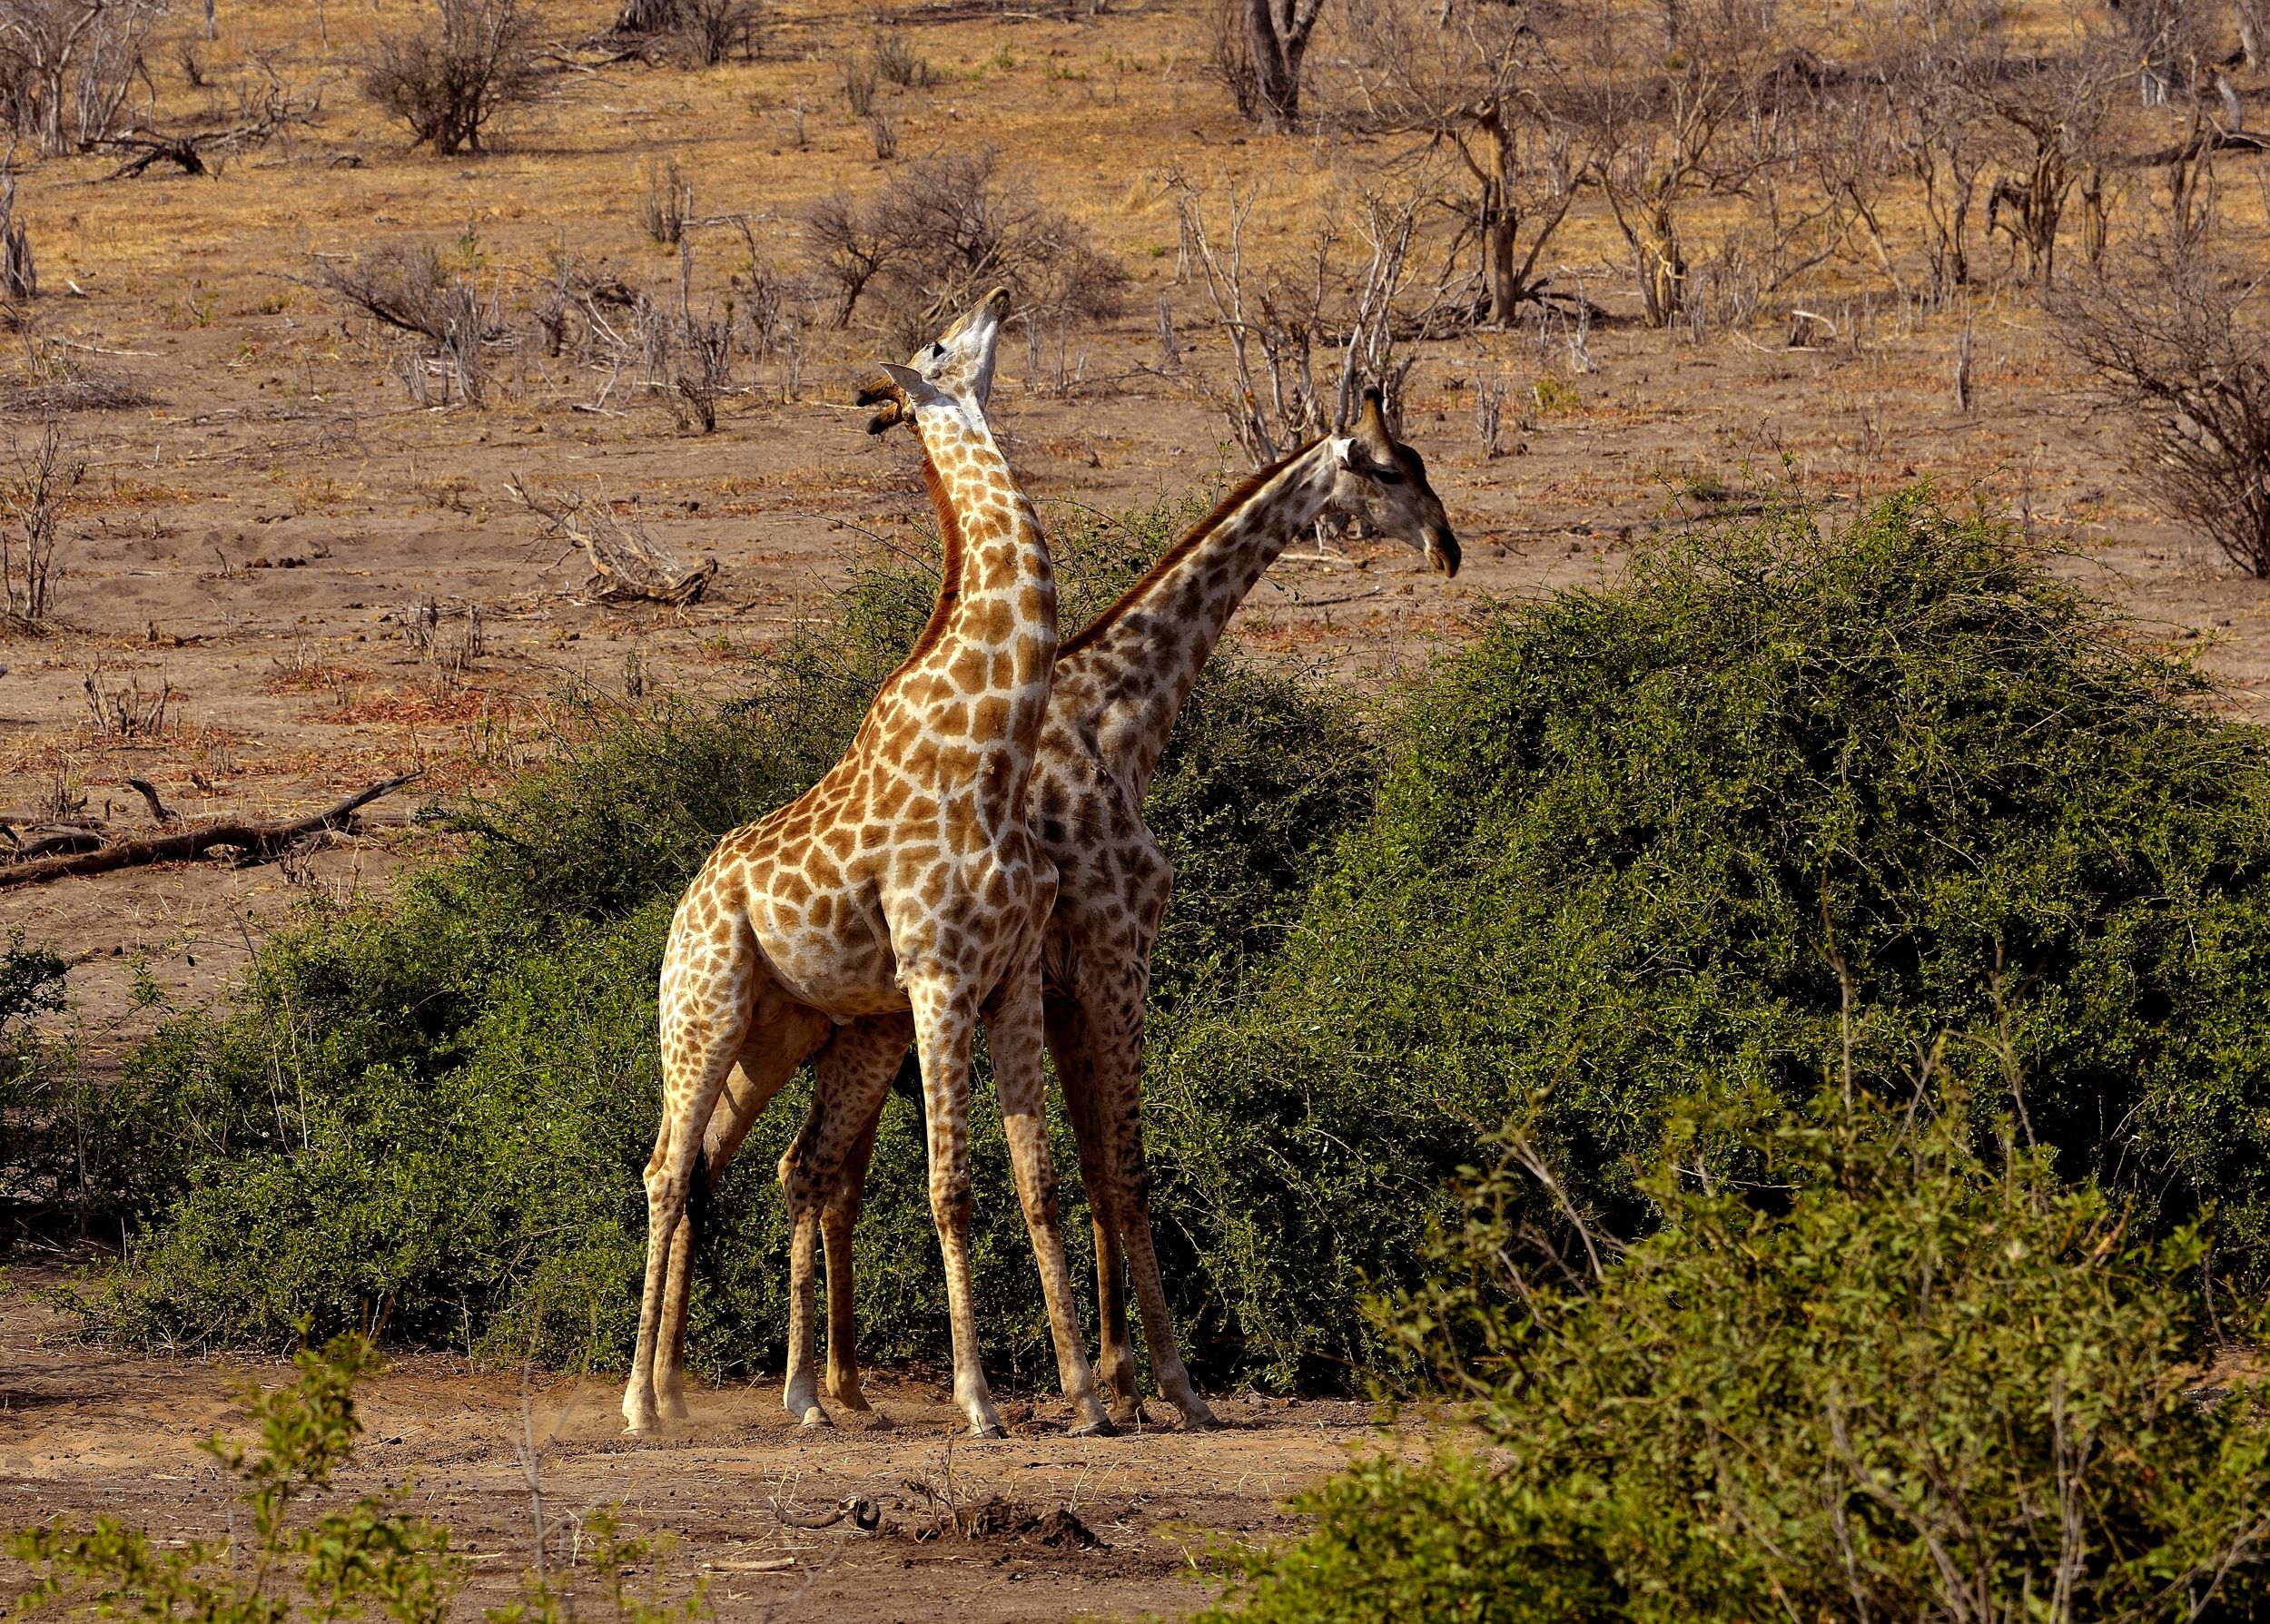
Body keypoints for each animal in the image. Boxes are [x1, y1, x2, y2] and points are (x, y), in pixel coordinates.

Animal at [622, 287, 1112, 1441]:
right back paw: (638, 1403)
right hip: (702, 1008)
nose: (999, 296)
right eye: (939, 340)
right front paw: (978, 1402)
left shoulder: (1012, 979)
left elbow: (1038, 1183)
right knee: (665, 1167)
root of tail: (688, 900)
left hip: (784, 1032)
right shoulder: (937, 979)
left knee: (725, 1164)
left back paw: (711, 1389)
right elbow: (951, 1189)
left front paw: (1085, 1397)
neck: (994, 745)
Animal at [663, 389, 1461, 1431]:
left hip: (821, 1027)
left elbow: (1082, 1172)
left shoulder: (1065, 985)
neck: (1118, 719)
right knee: (763, 1167)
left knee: (778, 1169)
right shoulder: (1116, 957)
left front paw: (1113, 1380)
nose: (1449, 547)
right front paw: (1166, 1383)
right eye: (1389, 469)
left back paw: (784, 1389)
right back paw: (752, 1389)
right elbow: (1123, 1169)